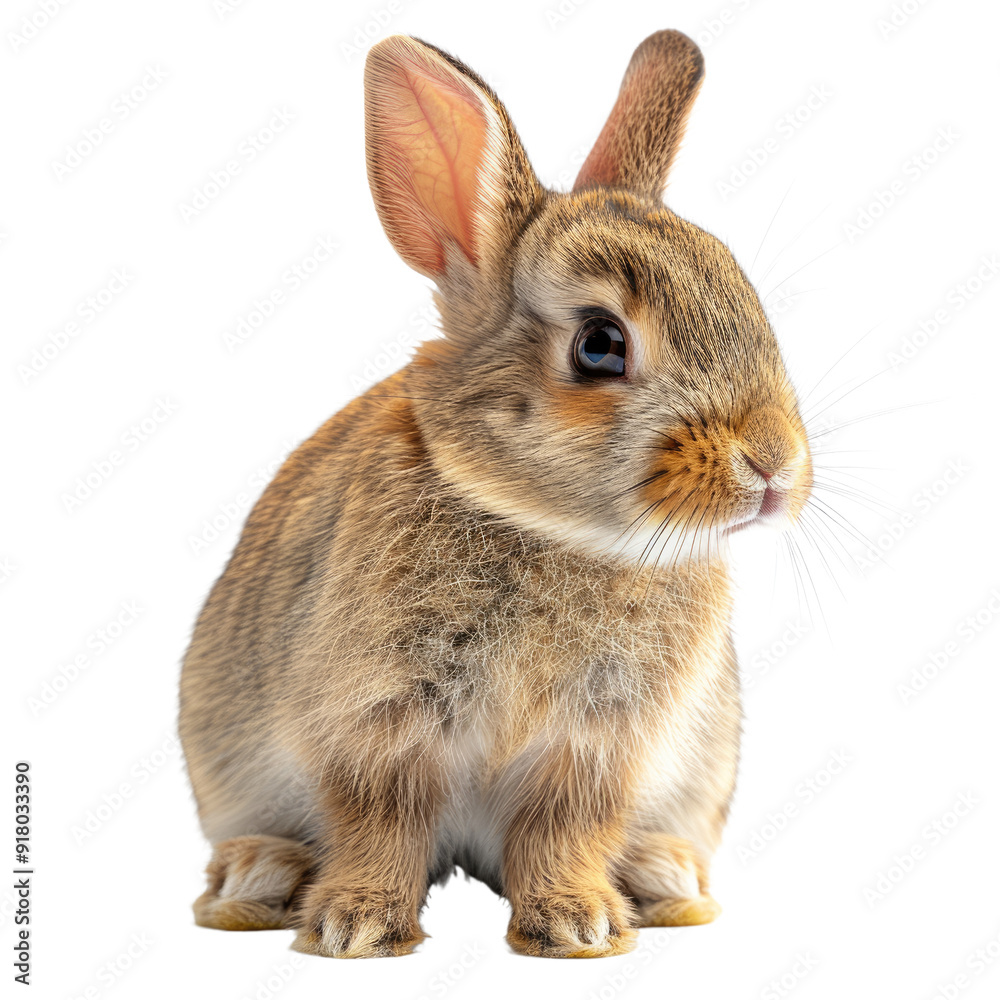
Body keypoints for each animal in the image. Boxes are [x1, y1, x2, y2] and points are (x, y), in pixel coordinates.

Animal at [178, 28, 813, 959]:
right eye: (599, 344)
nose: (773, 466)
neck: (543, 524)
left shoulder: (598, 744)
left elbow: (565, 829)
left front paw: (580, 926)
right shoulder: (377, 724)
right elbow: (380, 820)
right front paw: (356, 927)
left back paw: (664, 880)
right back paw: (255, 879)